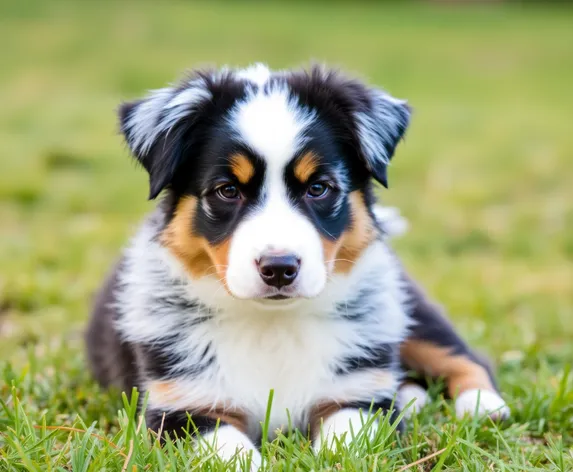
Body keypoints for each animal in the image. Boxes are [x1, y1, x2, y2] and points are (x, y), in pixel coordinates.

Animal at [86, 63, 510, 464]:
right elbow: (229, 451)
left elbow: (346, 441)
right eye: (227, 190)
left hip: (408, 310)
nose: (279, 268)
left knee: (466, 357)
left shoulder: (358, 393)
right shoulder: (182, 407)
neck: (272, 325)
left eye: (318, 188)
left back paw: (483, 406)